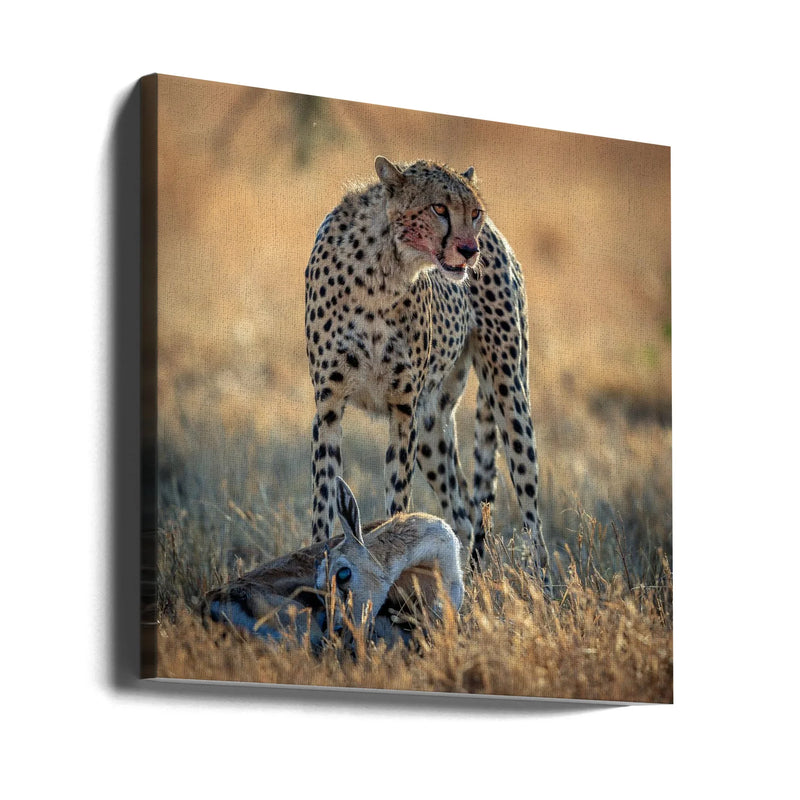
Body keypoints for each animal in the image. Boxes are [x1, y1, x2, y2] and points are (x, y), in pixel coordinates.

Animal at [304, 156, 549, 582]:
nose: (469, 250)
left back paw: (546, 589)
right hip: (434, 425)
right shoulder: (329, 407)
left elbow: (397, 505)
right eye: (438, 209)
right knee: (463, 513)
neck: (382, 271)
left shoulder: (404, 412)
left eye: (474, 212)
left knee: (530, 512)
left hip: (508, 395)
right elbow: (324, 501)